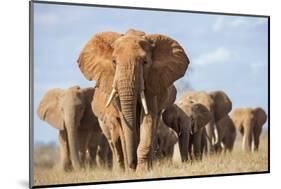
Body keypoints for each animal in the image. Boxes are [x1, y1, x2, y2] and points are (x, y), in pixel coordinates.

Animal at [76, 28, 188, 171]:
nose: (132, 164)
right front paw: (131, 170)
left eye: (145, 62)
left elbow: (148, 118)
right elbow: (124, 123)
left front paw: (142, 170)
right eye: (114, 62)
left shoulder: (152, 83)